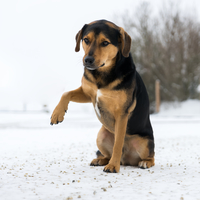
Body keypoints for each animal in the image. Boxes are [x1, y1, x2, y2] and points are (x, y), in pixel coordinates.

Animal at [50, 20, 155, 173]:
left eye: (105, 43)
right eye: (86, 40)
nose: (88, 60)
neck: (102, 74)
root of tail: (127, 160)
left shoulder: (122, 113)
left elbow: (118, 143)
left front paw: (113, 166)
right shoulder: (88, 93)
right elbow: (66, 93)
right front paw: (57, 114)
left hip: (144, 142)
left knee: (151, 156)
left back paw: (143, 162)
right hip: (101, 135)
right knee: (107, 154)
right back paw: (100, 160)